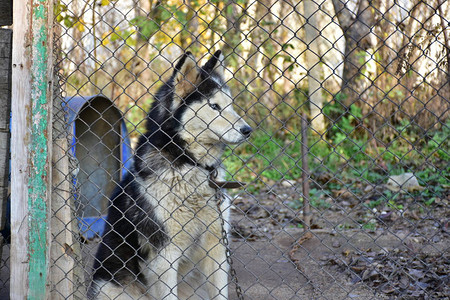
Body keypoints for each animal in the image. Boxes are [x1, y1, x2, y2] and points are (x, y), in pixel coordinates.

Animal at [88, 50, 253, 298]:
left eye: (231, 105)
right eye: (214, 106)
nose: (248, 130)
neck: (189, 163)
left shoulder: (216, 248)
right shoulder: (164, 255)